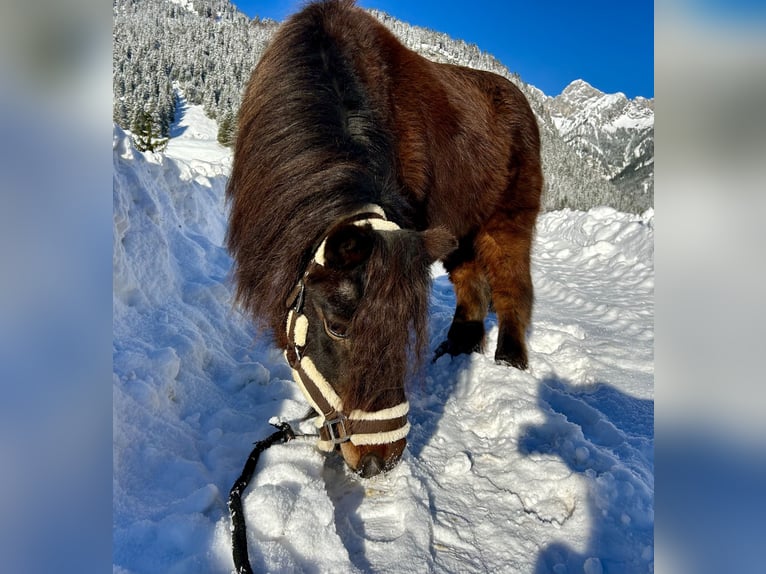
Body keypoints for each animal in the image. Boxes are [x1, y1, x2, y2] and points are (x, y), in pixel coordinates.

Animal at [225, 0, 544, 476]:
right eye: (337, 327)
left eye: (405, 325)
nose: (382, 461)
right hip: (459, 235)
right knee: (472, 287)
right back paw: (456, 348)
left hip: (507, 222)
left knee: (511, 288)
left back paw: (509, 359)